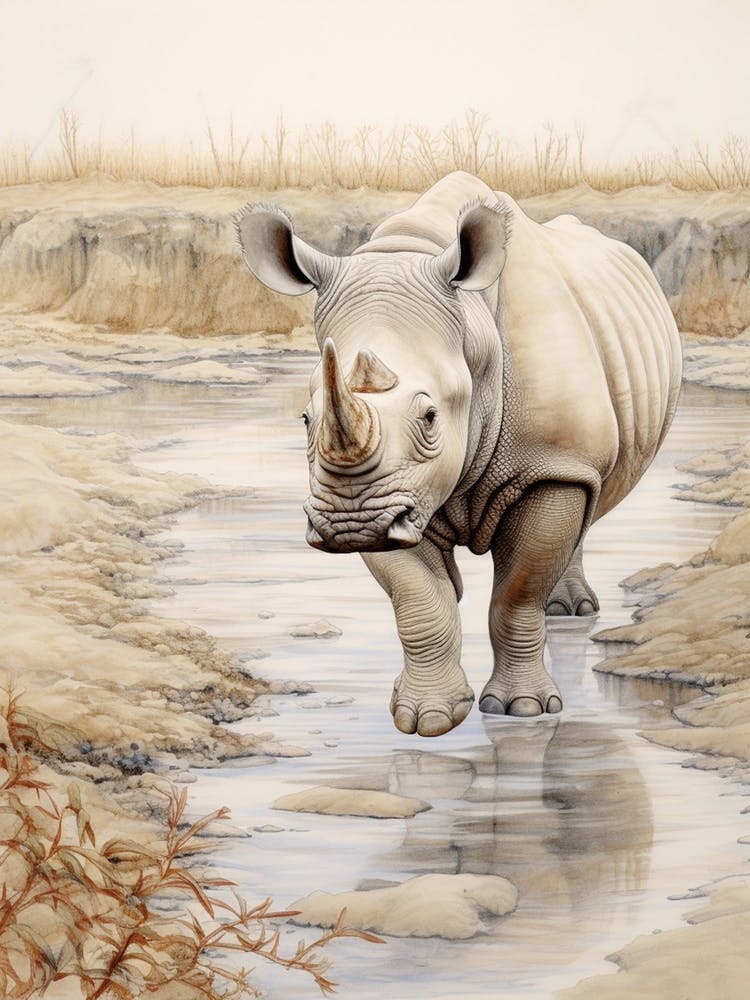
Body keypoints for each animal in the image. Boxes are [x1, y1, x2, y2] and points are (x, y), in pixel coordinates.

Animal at [236, 171, 682, 737]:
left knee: (588, 493)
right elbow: (419, 601)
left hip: (576, 448)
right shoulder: (381, 495)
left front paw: (525, 711)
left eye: (430, 417)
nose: (349, 527)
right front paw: (426, 719)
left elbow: (517, 593)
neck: (474, 335)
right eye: (305, 420)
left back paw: (569, 611)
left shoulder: (551, 465)